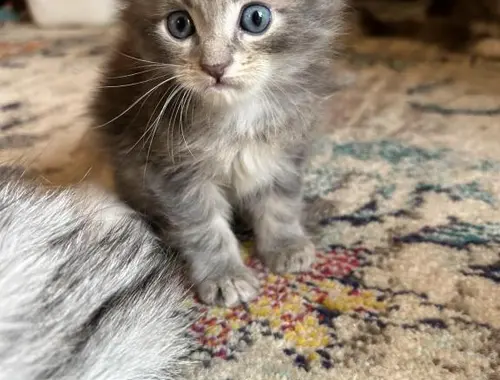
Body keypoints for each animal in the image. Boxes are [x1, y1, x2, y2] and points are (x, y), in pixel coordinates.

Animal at [92, 0, 344, 308]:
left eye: (256, 18)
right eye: (179, 24)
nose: (215, 66)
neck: (238, 116)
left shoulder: (287, 149)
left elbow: (281, 201)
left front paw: (285, 243)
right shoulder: (171, 169)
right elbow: (204, 227)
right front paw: (225, 275)